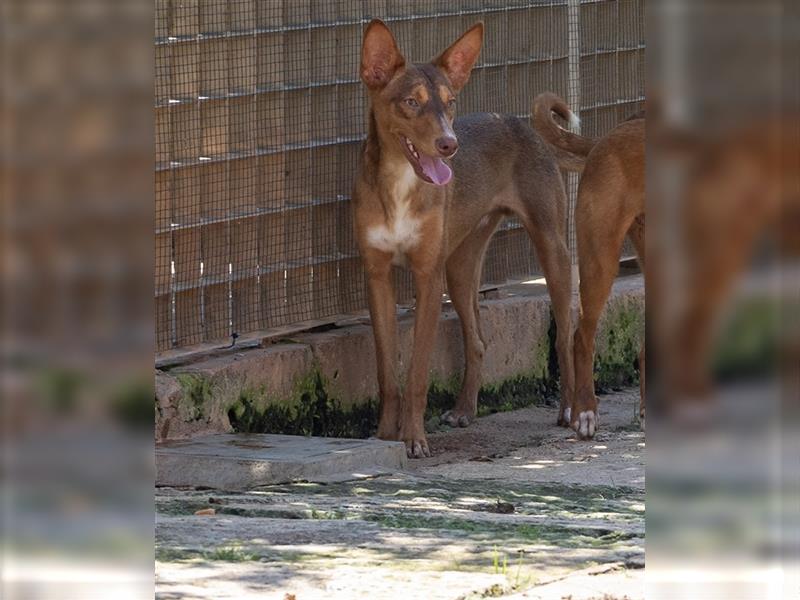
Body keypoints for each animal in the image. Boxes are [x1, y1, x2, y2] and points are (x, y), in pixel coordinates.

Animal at [356, 21, 576, 458]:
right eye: (411, 102)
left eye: (450, 102)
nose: (449, 145)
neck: (400, 185)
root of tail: (519, 122)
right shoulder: (377, 276)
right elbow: (387, 372)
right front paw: (385, 435)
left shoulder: (428, 278)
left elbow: (417, 373)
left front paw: (414, 438)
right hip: (459, 268)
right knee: (477, 342)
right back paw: (463, 411)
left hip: (552, 248)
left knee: (566, 335)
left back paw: (573, 411)